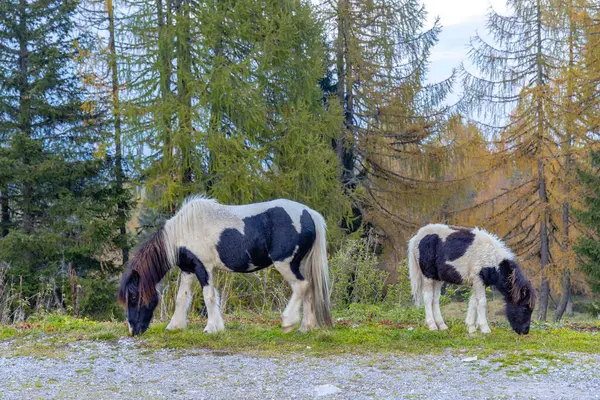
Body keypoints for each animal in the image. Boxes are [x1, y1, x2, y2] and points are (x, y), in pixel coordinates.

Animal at [117, 196, 332, 334]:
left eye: (134, 297)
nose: (133, 331)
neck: (184, 231)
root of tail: (309, 213)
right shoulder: (187, 269)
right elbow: (181, 298)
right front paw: (175, 326)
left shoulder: (203, 267)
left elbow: (209, 296)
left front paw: (212, 328)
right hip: (299, 264)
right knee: (309, 288)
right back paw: (306, 327)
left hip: (285, 264)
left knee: (301, 286)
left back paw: (288, 322)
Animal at [408, 225, 536, 334]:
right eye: (525, 307)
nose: (525, 331)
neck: (491, 257)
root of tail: (417, 237)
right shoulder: (478, 280)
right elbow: (482, 302)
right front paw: (485, 328)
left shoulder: (479, 282)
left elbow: (473, 302)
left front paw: (471, 328)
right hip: (428, 276)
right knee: (428, 297)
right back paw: (432, 326)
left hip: (437, 278)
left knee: (435, 299)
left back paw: (442, 325)